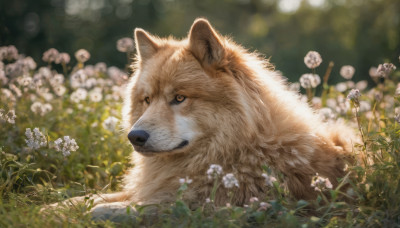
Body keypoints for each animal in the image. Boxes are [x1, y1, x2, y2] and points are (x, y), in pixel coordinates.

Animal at [54, 18, 356, 216]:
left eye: (179, 98)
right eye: (147, 100)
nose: (135, 137)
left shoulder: (196, 205)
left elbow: (112, 210)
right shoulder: (153, 188)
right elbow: (87, 198)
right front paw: (53, 207)